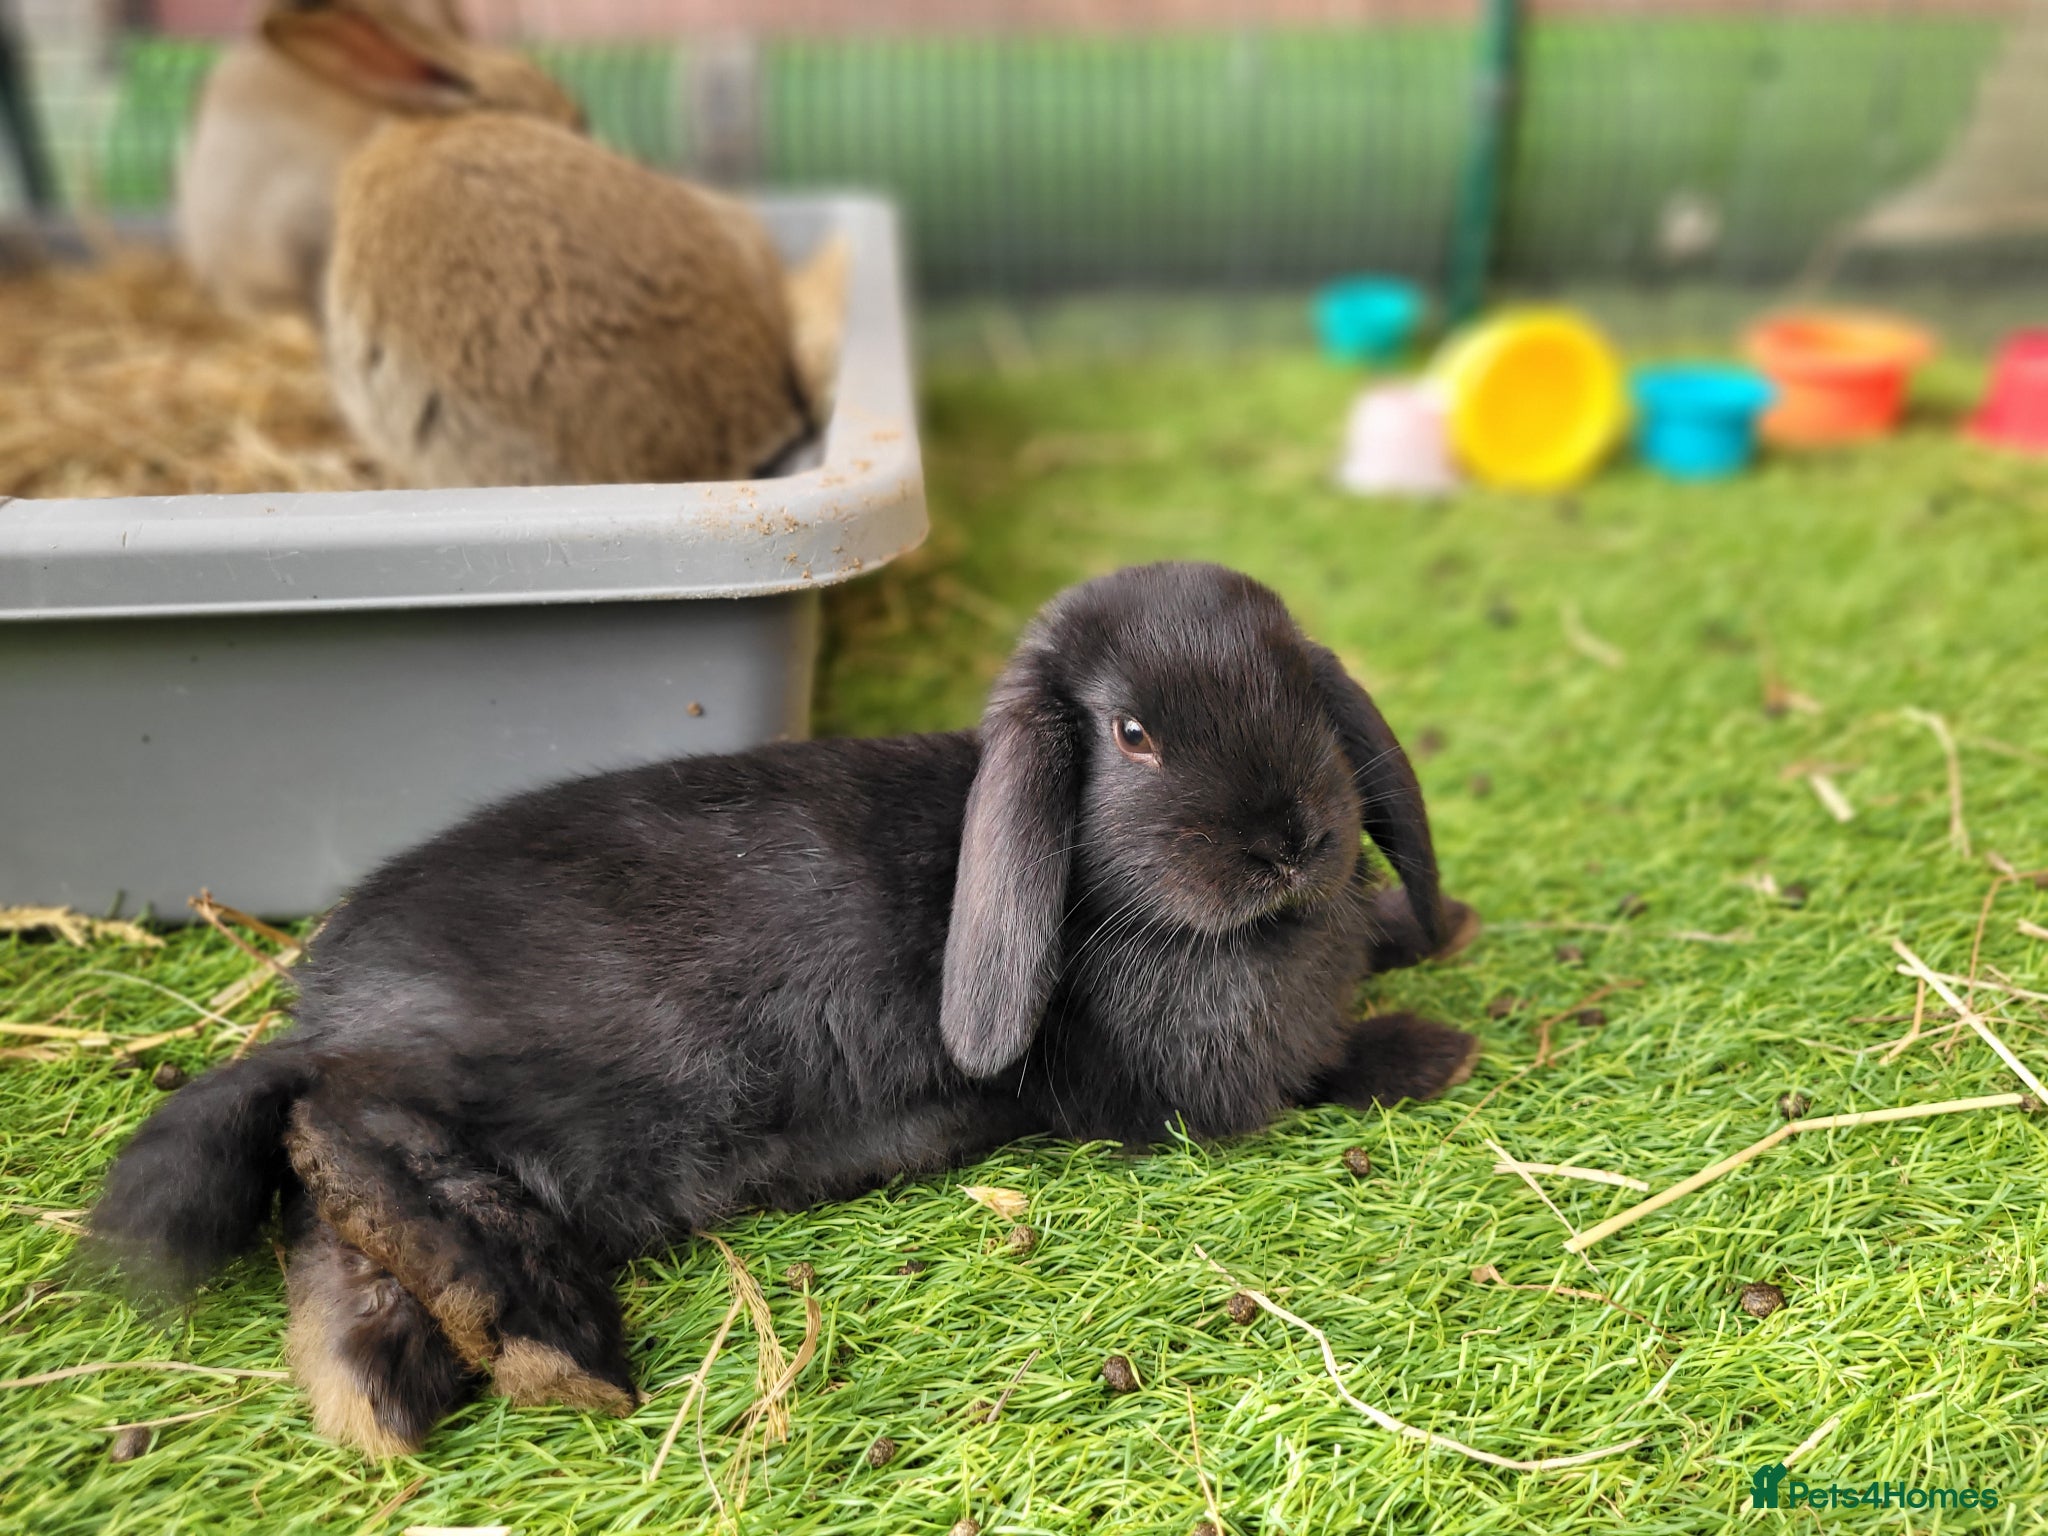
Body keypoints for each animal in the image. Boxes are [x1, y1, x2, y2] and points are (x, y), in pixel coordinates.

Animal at [90, 562, 1482, 1456]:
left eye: (1301, 696)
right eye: (1133, 735)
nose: (1292, 844)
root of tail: (326, 1013)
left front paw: (1429, 926)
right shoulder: (1188, 1092)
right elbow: (1311, 1076)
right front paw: (1431, 1047)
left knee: (334, 1225)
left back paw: (381, 1395)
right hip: (543, 1106)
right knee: (355, 1135)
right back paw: (555, 1354)